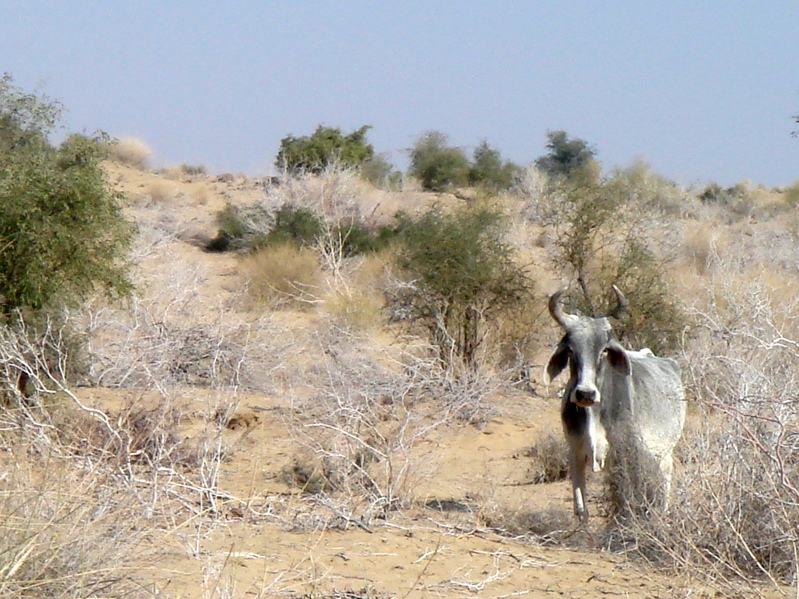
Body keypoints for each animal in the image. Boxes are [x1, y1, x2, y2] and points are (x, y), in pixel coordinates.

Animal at [548, 286, 684, 520]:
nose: (585, 394)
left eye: (604, 349)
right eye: (571, 349)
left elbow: (625, 499)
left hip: (664, 454)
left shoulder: (627, 453)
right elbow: (580, 506)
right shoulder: (575, 451)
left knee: (663, 482)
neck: (595, 414)